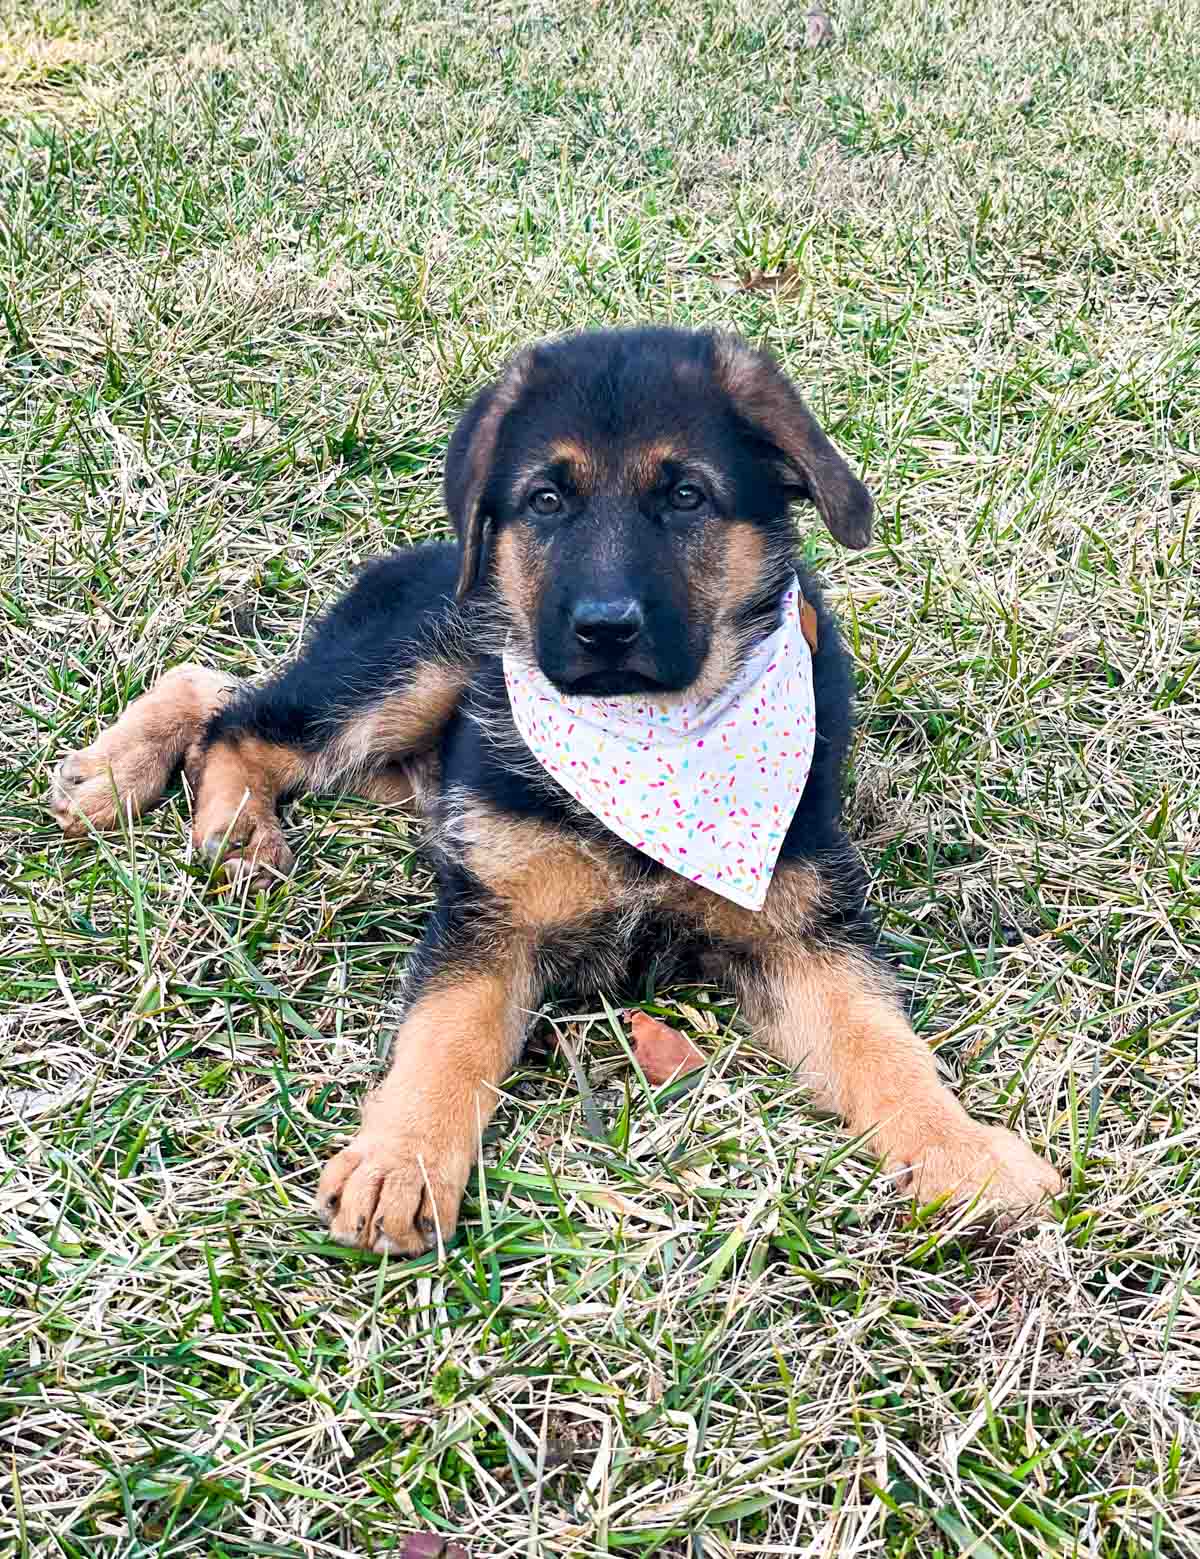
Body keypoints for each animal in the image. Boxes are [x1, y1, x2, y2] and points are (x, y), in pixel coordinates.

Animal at [46, 328, 1059, 1253]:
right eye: (545, 499)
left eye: (686, 495)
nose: (604, 629)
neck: (649, 749)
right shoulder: (489, 915)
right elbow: (446, 1034)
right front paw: (401, 1160)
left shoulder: (804, 929)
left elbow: (882, 1042)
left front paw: (963, 1153)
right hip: (422, 662)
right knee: (238, 714)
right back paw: (193, 811)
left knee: (228, 694)